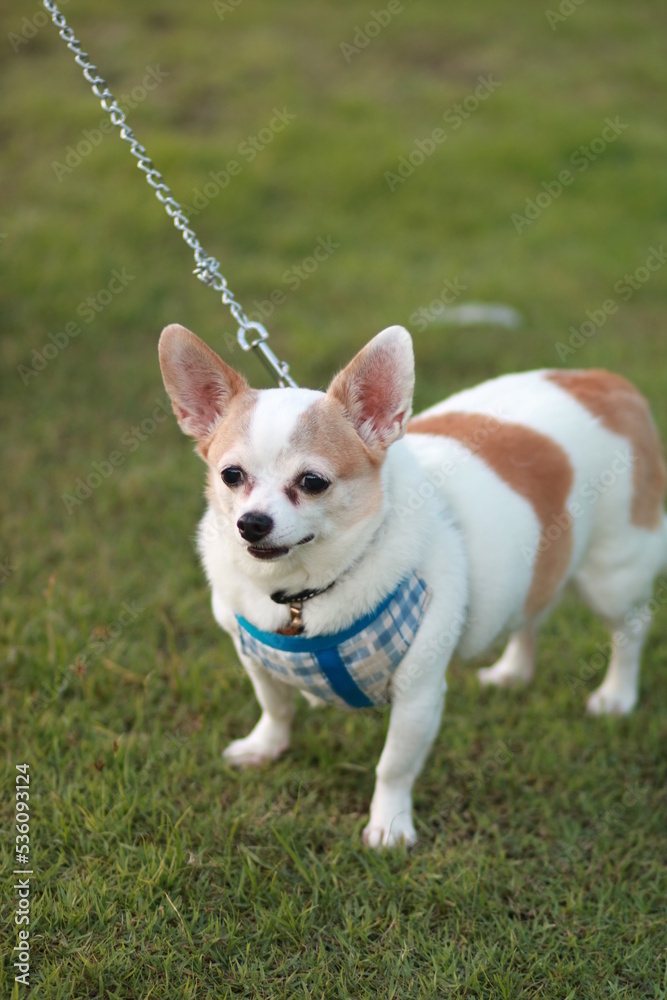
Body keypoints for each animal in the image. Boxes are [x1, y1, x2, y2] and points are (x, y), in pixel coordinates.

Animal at [158, 324, 667, 848]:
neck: (302, 595)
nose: (252, 523)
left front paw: (389, 826)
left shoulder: (418, 694)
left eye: (313, 482)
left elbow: (394, 765)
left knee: (631, 628)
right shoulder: (255, 659)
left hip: (613, 573)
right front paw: (265, 747)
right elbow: (275, 707)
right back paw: (512, 671)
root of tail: (605, 381)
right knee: (533, 608)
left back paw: (617, 696)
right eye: (231, 475)